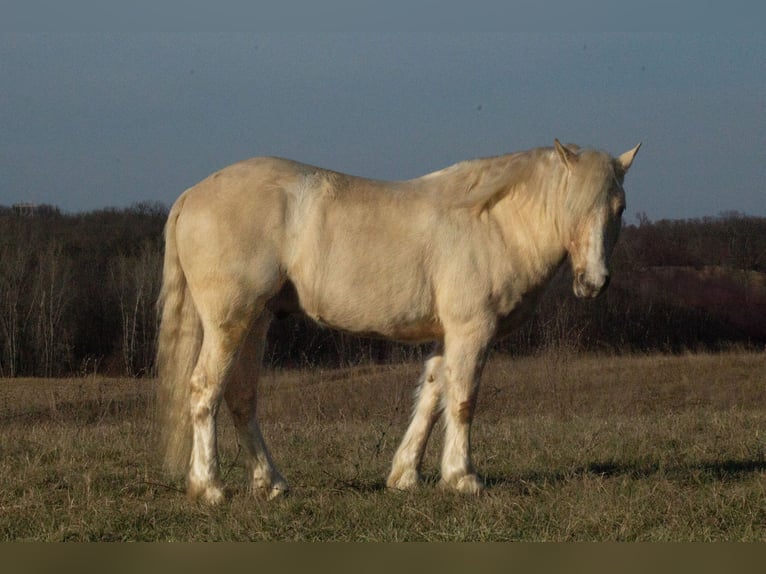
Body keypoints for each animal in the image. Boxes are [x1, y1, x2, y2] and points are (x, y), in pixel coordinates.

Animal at [156, 140, 640, 504]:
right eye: (571, 205)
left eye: (619, 207)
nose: (594, 282)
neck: (492, 224)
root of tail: (193, 194)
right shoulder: (472, 331)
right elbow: (463, 400)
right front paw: (463, 477)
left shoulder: (448, 335)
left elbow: (432, 395)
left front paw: (406, 476)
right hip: (229, 321)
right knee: (205, 389)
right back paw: (210, 487)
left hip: (255, 321)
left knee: (240, 396)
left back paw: (270, 483)